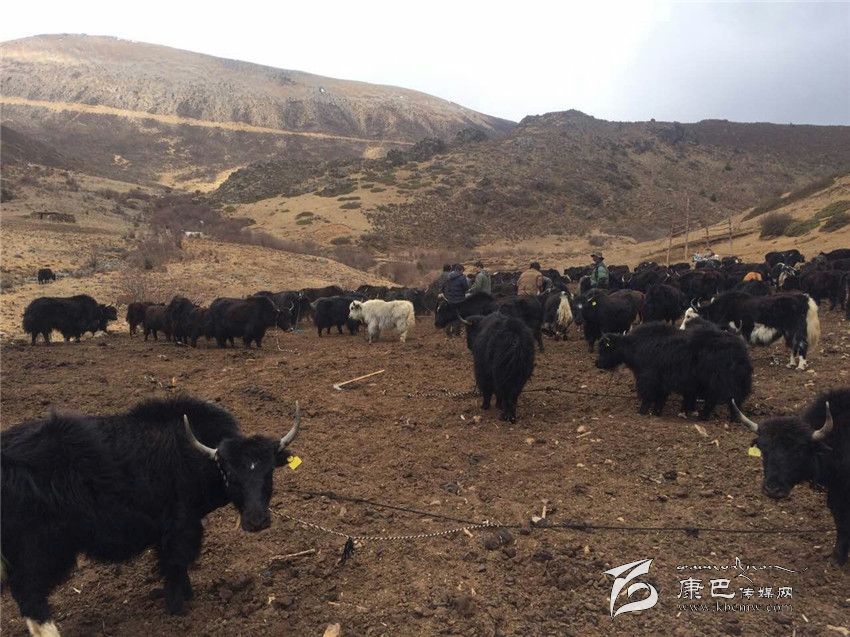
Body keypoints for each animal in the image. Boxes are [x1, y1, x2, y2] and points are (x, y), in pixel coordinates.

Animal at [0, 397, 301, 632]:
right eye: (229, 474)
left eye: (268, 472)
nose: (256, 522)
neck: (194, 456)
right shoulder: (182, 527)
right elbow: (175, 564)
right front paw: (178, 608)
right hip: (41, 550)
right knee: (31, 599)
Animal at [596, 321, 752, 420]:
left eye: (605, 348)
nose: (597, 363)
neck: (634, 345)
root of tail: (741, 349)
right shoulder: (661, 383)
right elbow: (660, 399)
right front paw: (656, 413)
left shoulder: (648, 379)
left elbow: (648, 397)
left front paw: (641, 412)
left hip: (718, 382)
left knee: (721, 400)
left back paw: (707, 417)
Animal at [681, 291, 820, 370]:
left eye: (688, 316)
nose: (681, 329)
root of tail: (804, 298)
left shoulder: (733, 330)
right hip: (788, 331)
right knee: (793, 346)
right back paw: (791, 364)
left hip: (797, 329)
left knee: (801, 344)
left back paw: (801, 366)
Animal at [732, 389, 850, 566]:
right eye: (764, 448)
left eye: (798, 450)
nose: (772, 489)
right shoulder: (836, 492)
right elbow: (840, 519)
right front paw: (837, 557)